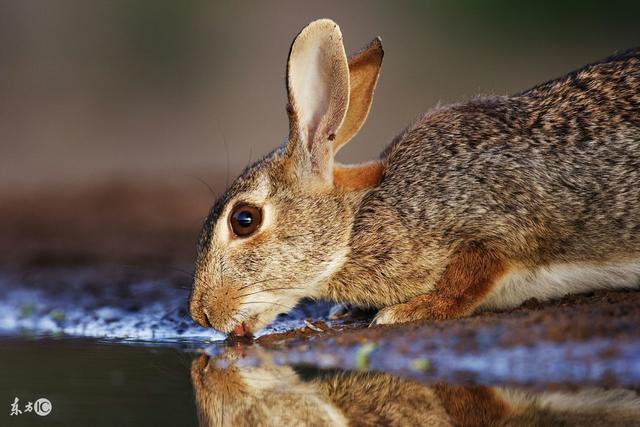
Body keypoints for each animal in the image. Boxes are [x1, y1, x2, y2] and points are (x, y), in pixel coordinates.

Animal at [189, 17, 640, 338]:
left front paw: (406, 311)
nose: (202, 314)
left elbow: (469, 275)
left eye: (244, 220)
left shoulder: (493, 220)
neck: (354, 224)